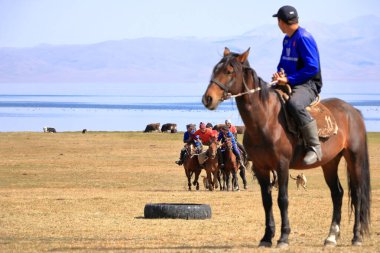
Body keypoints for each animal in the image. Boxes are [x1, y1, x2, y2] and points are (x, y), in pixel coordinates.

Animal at [202, 47, 372, 247]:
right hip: (330, 162)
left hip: (354, 158)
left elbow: (282, 199)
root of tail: (353, 111)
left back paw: (356, 237)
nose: (208, 98)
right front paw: (267, 237)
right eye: (215, 69)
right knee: (337, 194)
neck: (266, 120)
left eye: (229, 71)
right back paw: (331, 237)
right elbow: (266, 201)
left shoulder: (282, 166)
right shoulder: (261, 168)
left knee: (358, 194)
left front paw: (283, 237)